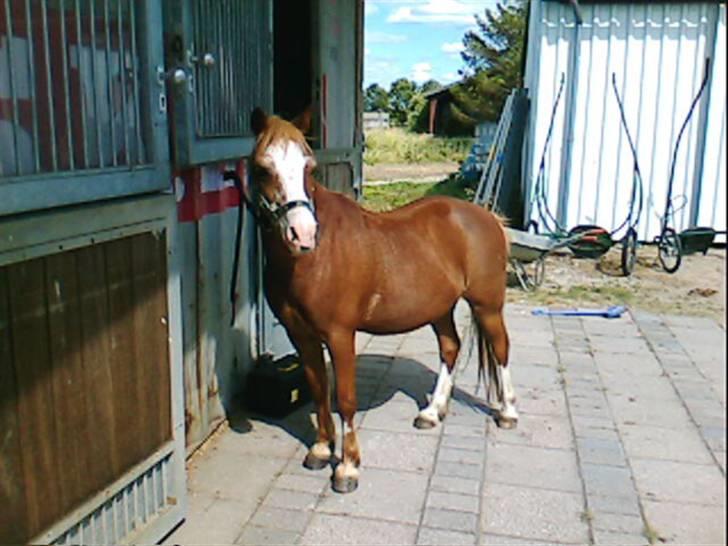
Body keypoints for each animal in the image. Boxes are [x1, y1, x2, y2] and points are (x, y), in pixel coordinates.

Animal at [249, 108, 516, 490]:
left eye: (308, 167)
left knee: (500, 348)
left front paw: (348, 468)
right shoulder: (300, 335)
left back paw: (507, 413)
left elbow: (345, 399)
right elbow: (318, 390)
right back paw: (432, 413)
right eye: (262, 167)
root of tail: (486, 215)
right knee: (451, 347)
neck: (314, 258)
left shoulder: (340, 335)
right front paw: (320, 450)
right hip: (439, 308)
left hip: (487, 305)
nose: (303, 234)